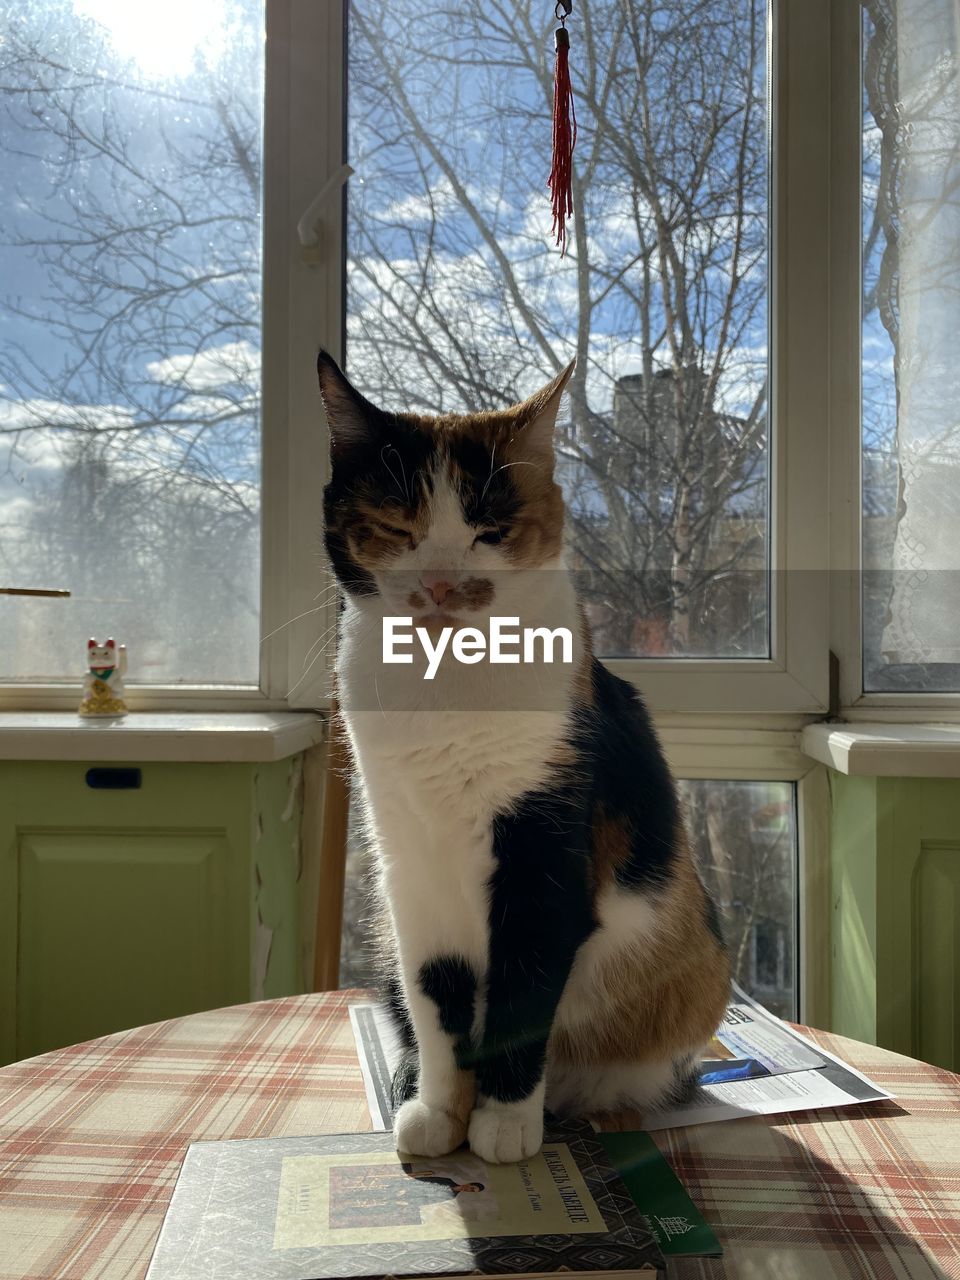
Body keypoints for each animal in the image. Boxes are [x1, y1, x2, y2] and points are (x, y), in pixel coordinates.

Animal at [320, 348, 732, 1162]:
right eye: (397, 527)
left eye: (491, 530)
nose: (441, 585)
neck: (444, 684)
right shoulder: (409, 868)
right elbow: (436, 995)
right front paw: (440, 1111)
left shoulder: (544, 853)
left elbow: (522, 988)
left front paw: (505, 1125)